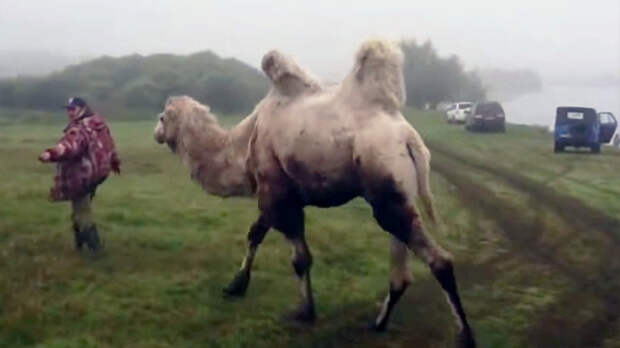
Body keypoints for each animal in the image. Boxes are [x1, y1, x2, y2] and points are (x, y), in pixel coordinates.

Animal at [154, 40, 474, 346]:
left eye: (162, 117)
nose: (155, 133)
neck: (243, 143)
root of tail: (409, 139)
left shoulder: (276, 192)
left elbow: (299, 258)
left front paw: (305, 311)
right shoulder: (279, 194)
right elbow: (255, 233)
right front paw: (235, 286)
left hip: (385, 184)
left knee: (439, 260)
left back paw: (465, 335)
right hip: (397, 194)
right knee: (401, 267)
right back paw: (379, 323)